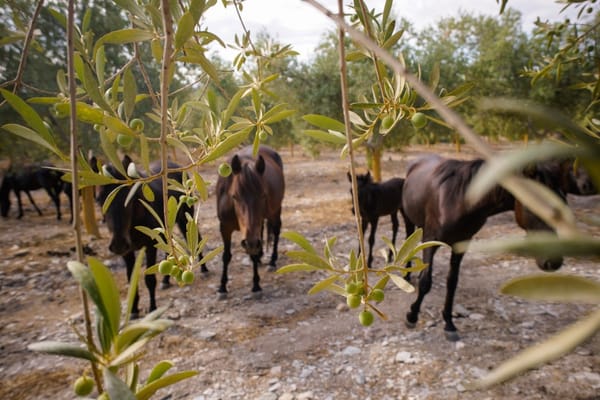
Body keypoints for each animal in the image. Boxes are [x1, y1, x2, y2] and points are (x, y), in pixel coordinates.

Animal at [96, 156, 204, 318]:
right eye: (98, 200)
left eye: (129, 199)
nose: (118, 244)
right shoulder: (127, 252)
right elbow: (131, 280)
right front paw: (134, 310)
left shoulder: (150, 245)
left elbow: (149, 279)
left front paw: (152, 308)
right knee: (169, 248)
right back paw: (166, 280)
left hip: (185, 217)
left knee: (195, 236)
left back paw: (204, 268)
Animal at [216, 145, 286, 298]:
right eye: (234, 196)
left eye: (263, 195)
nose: (250, 243)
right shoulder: (224, 228)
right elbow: (226, 256)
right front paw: (222, 287)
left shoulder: (253, 235)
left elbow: (254, 249)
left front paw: (256, 285)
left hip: (276, 210)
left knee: (276, 231)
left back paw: (272, 261)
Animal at [400, 155, 564, 342]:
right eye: (535, 204)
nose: (554, 262)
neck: (459, 199)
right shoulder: (431, 240)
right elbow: (425, 281)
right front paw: (412, 316)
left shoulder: (461, 244)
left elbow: (452, 282)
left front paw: (449, 323)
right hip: (409, 220)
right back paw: (406, 276)